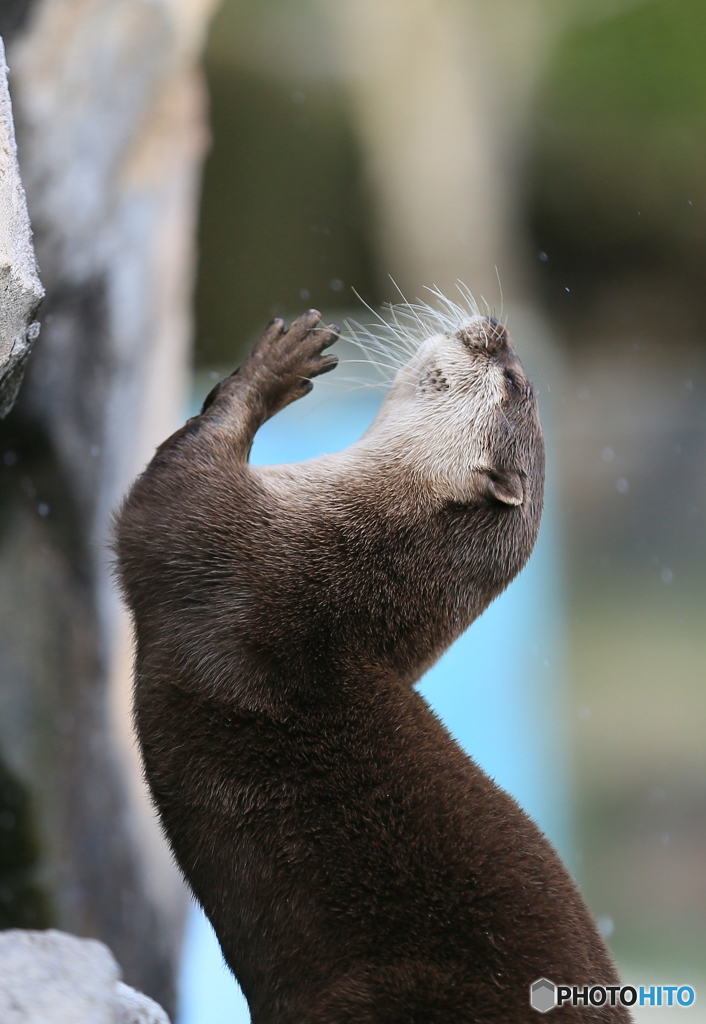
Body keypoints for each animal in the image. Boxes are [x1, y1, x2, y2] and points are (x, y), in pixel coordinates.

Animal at [114, 307, 627, 1019]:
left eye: (515, 384)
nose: (498, 328)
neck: (345, 576)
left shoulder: (220, 544)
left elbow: (172, 480)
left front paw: (270, 373)